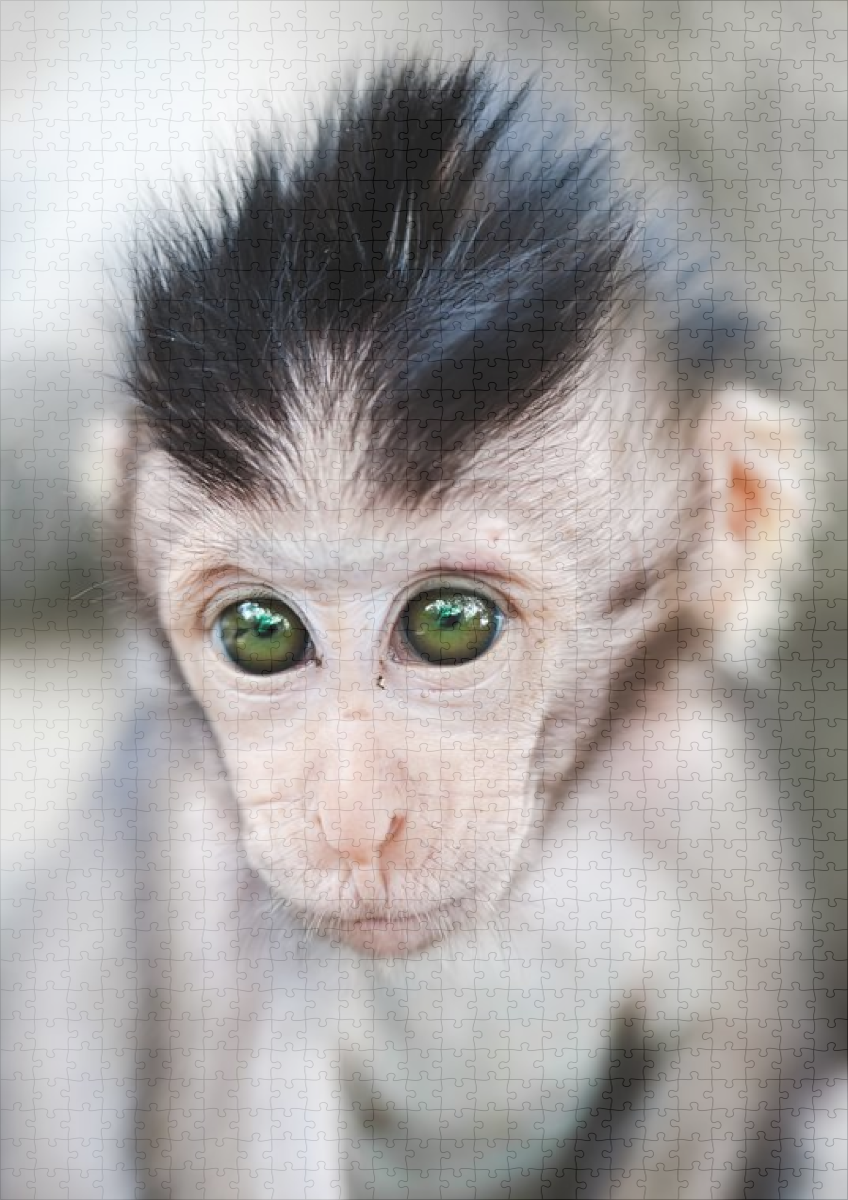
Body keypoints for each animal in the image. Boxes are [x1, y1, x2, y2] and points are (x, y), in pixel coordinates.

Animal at [117, 62, 822, 1200]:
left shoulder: (695, 793)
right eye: (261, 633)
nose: (354, 822)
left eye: (448, 625)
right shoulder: (200, 864)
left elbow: (724, 1072)